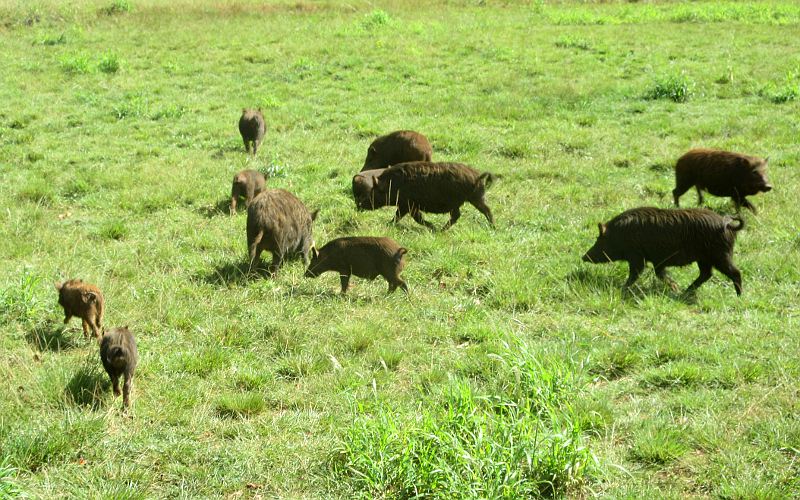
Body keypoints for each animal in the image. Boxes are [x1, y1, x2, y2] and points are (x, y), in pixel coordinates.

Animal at [354, 160, 494, 230]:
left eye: (375, 191)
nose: (360, 204)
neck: (393, 185)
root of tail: (477, 176)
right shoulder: (406, 205)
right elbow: (401, 216)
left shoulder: (408, 204)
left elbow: (414, 217)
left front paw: (432, 227)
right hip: (473, 199)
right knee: (459, 215)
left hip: (472, 198)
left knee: (485, 210)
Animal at [580, 208, 744, 296]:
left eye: (599, 239)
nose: (583, 257)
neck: (619, 234)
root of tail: (728, 226)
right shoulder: (658, 260)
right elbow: (660, 274)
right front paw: (675, 288)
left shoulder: (637, 256)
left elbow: (636, 273)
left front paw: (623, 290)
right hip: (704, 259)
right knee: (706, 274)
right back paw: (684, 292)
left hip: (720, 255)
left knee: (735, 272)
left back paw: (739, 296)